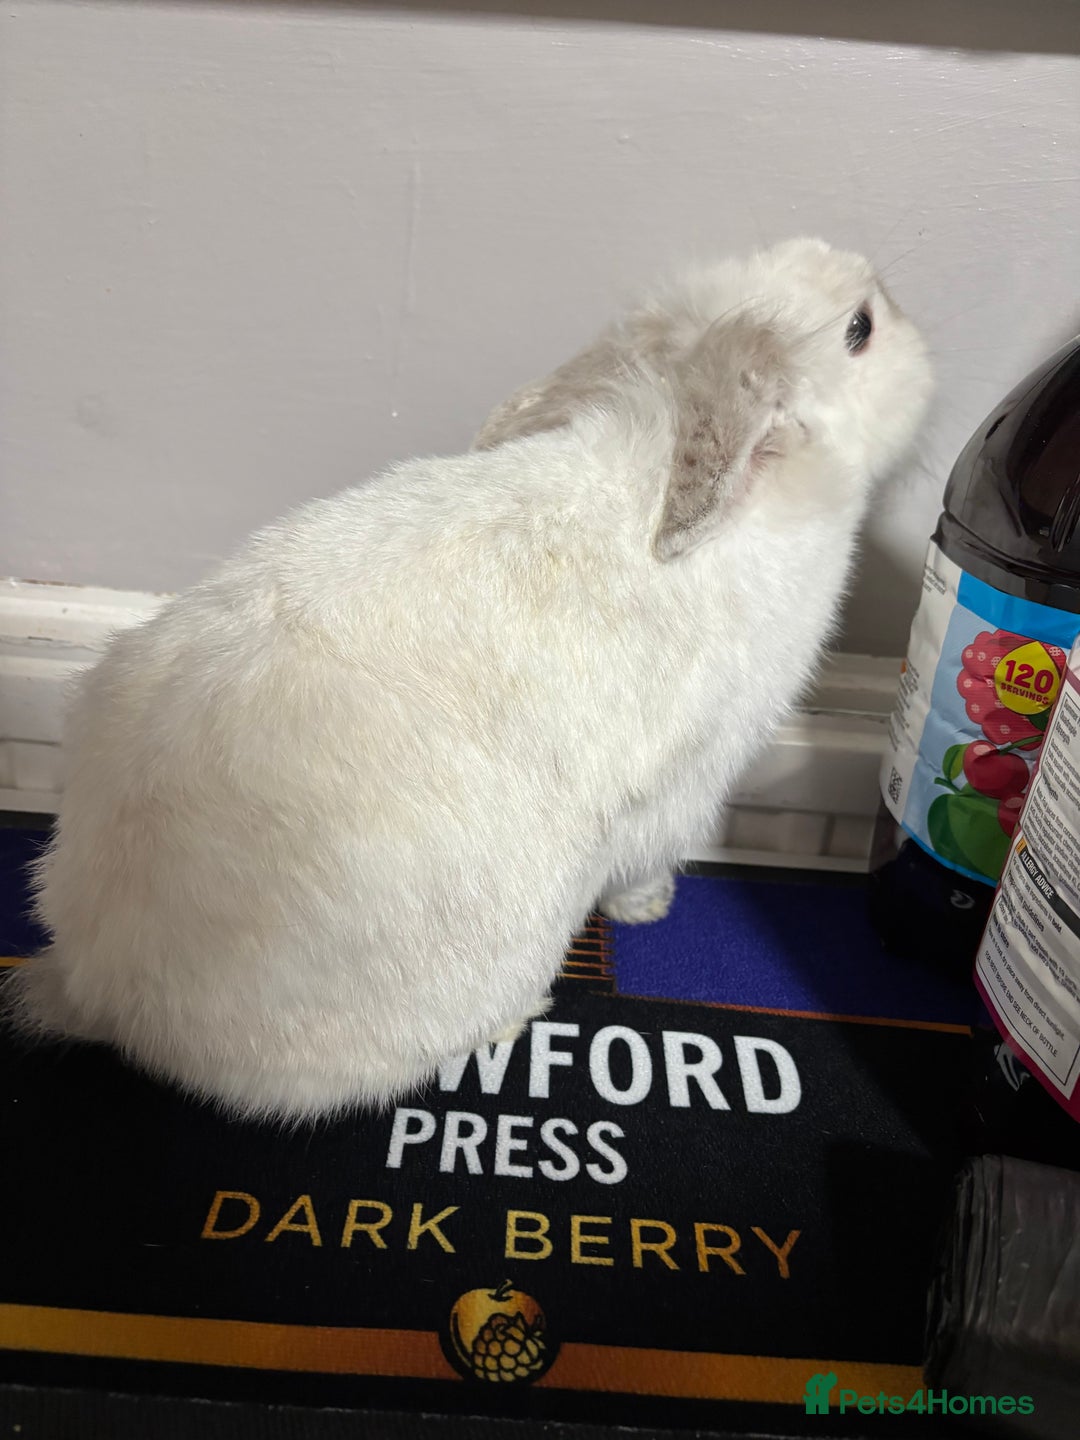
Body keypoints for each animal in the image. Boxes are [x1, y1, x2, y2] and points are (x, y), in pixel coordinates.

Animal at [7, 237, 932, 1122]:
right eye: (859, 328)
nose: (919, 332)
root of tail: (99, 989)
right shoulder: (689, 783)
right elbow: (649, 857)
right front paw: (649, 908)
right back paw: (518, 1019)